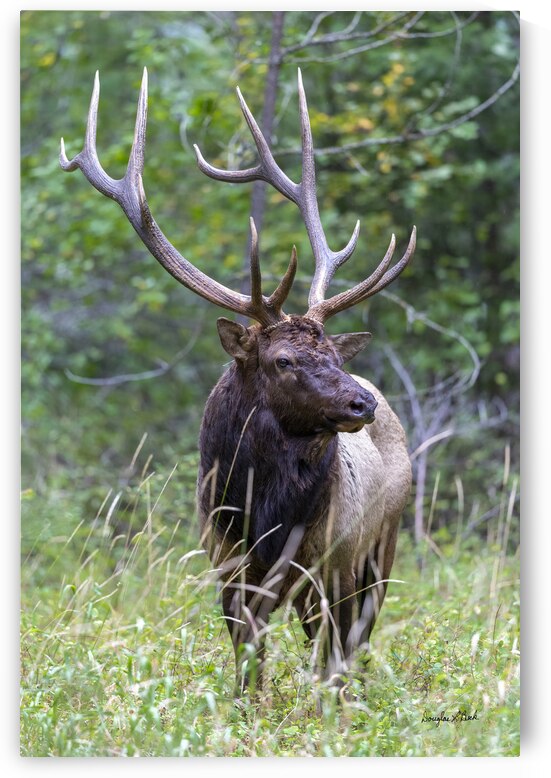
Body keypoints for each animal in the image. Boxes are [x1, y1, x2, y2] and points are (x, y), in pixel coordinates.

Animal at [60, 68, 416, 693]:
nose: (361, 403)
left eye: (332, 353)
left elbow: (328, 658)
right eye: (283, 361)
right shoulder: (226, 564)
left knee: (354, 642)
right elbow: (248, 661)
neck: (262, 513)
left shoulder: (328, 563)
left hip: (380, 546)